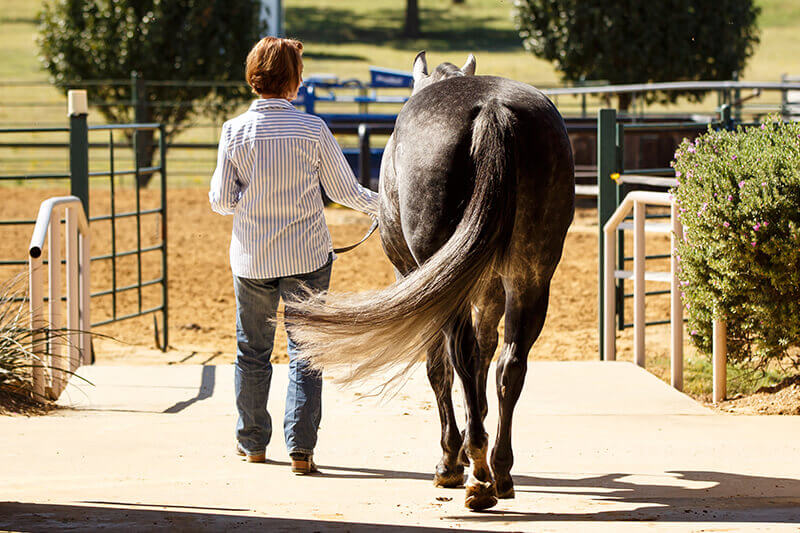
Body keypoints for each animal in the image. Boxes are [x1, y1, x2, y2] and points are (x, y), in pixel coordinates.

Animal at [286, 51, 575, 510]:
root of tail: (492, 110)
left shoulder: (415, 275)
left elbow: (438, 367)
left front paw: (450, 460)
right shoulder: (489, 289)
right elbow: (487, 352)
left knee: (461, 356)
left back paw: (476, 473)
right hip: (531, 274)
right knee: (509, 363)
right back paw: (500, 469)